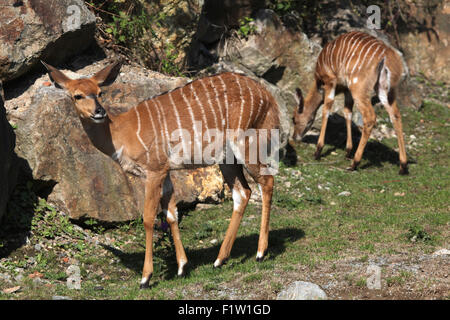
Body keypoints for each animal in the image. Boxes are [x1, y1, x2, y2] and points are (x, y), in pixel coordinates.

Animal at [43, 61, 282, 288]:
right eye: (78, 95)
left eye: (100, 92)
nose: (99, 112)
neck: (121, 132)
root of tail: (268, 97)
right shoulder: (166, 172)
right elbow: (171, 214)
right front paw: (182, 268)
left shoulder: (154, 171)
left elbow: (149, 218)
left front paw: (145, 278)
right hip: (227, 158)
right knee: (243, 193)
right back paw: (219, 260)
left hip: (247, 143)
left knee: (267, 181)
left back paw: (260, 253)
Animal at [294, 30, 410, 175]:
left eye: (294, 119)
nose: (295, 137)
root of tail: (387, 58)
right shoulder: (347, 90)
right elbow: (347, 112)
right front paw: (348, 150)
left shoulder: (330, 81)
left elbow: (327, 109)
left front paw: (318, 151)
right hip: (385, 91)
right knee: (396, 115)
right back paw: (403, 166)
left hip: (359, 88)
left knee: (370, 117)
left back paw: (354, 163)